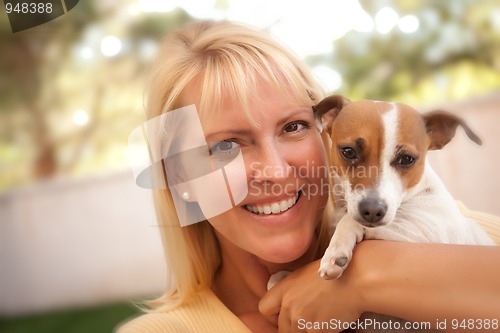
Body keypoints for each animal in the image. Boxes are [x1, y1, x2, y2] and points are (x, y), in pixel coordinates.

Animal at [312, 94, 496, 332]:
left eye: (407, 159)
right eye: (348, 151)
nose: (373, 210)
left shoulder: (429, 232)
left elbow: (349, 221)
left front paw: (336, 251)